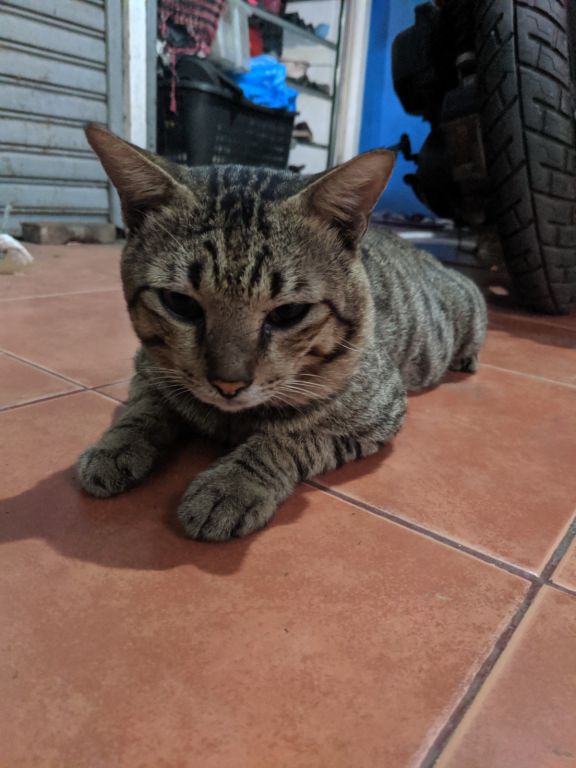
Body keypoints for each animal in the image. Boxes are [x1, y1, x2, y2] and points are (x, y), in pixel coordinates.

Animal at [77, 124, 487, 541]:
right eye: (180, 303)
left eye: (289, 312)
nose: (228, 384)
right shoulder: (147, 368)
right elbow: (143, 409)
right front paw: (116, 445)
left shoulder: (377, 411)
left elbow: (288, 438)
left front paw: (232, 484)